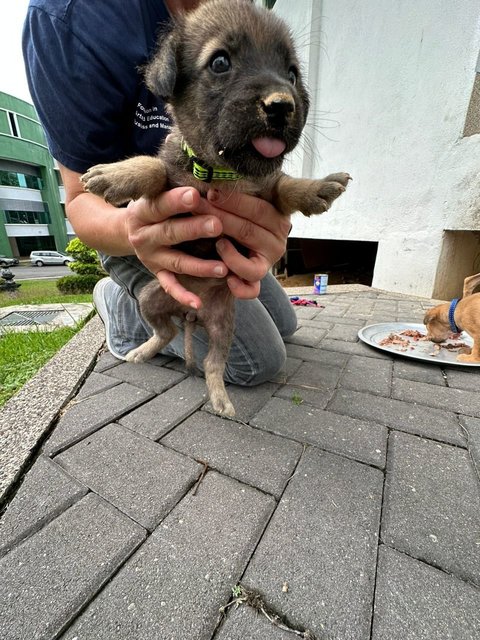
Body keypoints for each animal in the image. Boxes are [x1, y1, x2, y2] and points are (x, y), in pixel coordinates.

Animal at [80, 0, 350, 416]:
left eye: (291, 73)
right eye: (220, 62)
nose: (282, 106)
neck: (221, 172)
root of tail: (192, 311)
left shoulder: (268, 192)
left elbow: (285, 185)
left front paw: (317, 187)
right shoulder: (171, 182)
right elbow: (153, 167)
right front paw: (116, 174)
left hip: (223, 325)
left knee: (210, 362)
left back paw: (220, 397)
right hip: (151, 297)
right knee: (165, 333)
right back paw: (142, 351)